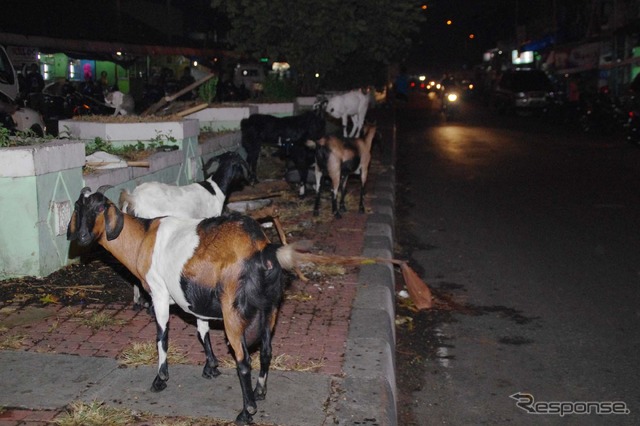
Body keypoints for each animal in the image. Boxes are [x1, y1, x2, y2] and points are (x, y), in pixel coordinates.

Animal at [66, 188, 302, 424]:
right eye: (78, 207)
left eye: (99, 208)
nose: (83, 236)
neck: (142, 239)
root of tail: (261, 250)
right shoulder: (197, 299)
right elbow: (202, 330)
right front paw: (211, 367)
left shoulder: (159, 293)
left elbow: (162, 336)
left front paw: (160, 378)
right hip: (270, 309)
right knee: (266, 351)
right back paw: (260, 391)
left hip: (232, 311)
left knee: (243, 362)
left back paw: (246, 411)